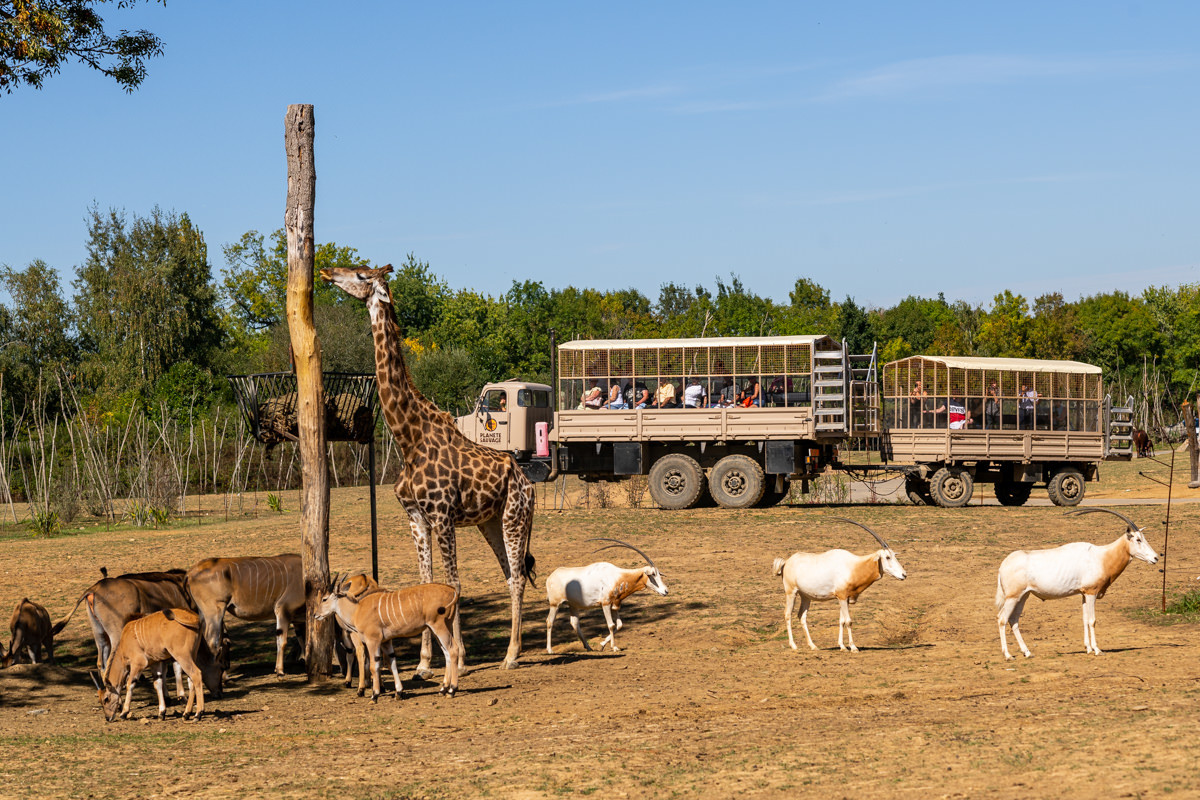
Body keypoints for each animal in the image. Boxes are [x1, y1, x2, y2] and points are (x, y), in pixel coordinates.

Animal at [91, 609, 223, 724]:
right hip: (191, 655)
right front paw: (161, 713)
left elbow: (130, 684)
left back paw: (198, 714)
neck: (123, 646)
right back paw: (186, 714)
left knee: (196, 674)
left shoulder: (138, 663)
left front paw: (124, 713)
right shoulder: (156, 663)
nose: (108, 718)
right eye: (100, 701)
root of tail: (195, 618)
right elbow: (158, 684)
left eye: (106, 699)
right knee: (191, 680)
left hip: (182, 656)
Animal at [314, 575, 458, 700]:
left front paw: (374, 695)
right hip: (441, 627)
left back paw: (452, 690)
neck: (357, 610)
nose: (316, 615)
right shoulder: (385, 642)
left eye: (324, 599)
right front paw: (399, 692)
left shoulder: (373, 640)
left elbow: (373, 666)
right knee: (447, 653)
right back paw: (443, 689)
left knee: (453, 650)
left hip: (439, 626)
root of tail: (452, 590)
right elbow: (392, 663)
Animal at [324, 266, 540, 671]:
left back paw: (511, 656)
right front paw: (425, 662)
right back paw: (510, 651)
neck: (408, 438)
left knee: (518, 577)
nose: (328, 271)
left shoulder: (441, 514)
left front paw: (459, 658)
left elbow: (453, 583)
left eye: (360, 274)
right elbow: (425, 581)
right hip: (491, 521)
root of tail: (528, 484)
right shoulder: (416, 516)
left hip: (515, 517)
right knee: (510, 574)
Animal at [772, 520, 902, 657]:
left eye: (894, 555)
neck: (853, 566)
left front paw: (842, 646)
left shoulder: (844, 598)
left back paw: (813, 646)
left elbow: (842, 621)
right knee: (788, 614)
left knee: (802, 616)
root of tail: (786, 562)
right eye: (887, 557)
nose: (904, 575)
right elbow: (848, 621)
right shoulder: (842, 597)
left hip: (806, 596)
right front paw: (853, 647)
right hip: (791, 592)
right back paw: (794, 645)